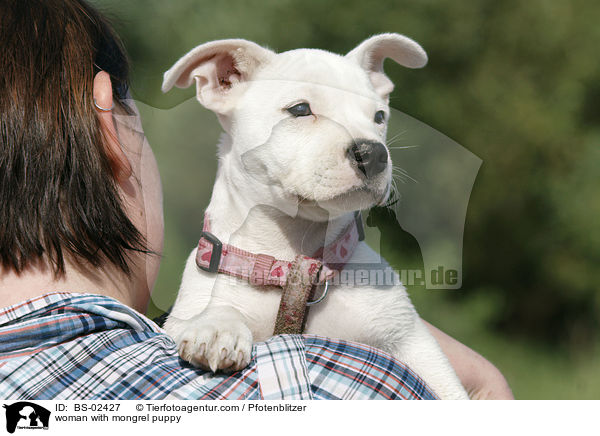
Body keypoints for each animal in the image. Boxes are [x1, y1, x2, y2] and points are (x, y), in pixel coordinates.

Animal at [163, 35, 468, 400]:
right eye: (300, 109)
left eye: (379, 116)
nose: (373, 153)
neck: (291, 262)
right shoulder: (184, 310)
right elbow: (214, 309)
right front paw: (216, 327)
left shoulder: (411, 341)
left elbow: (448, 388)